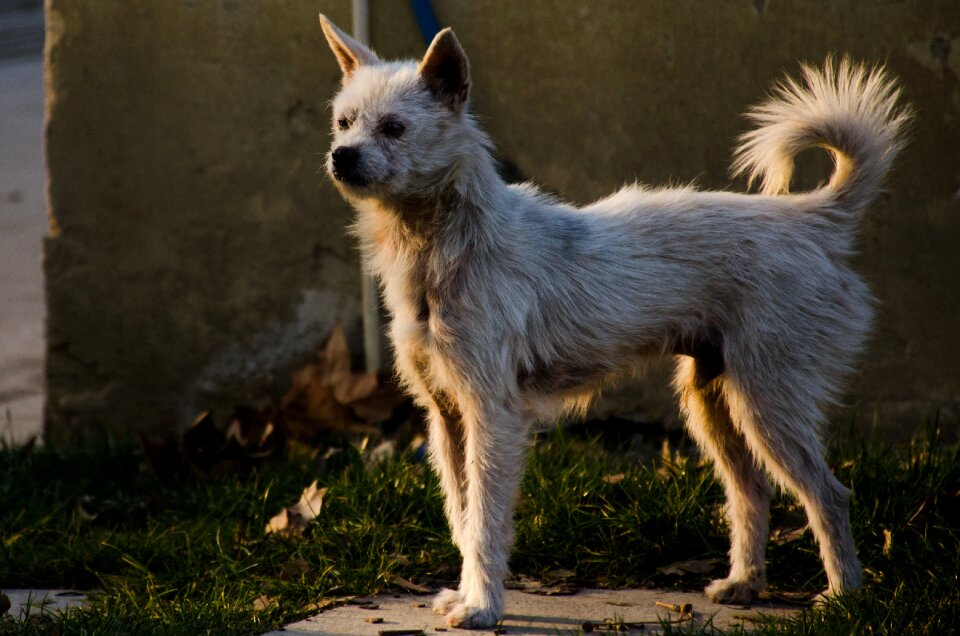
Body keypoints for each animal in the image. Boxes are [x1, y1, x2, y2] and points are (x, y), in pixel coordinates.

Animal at [320, 13, 908, 628]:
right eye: (343, 122)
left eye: (394, 128)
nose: (342, 156)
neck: (446, 246)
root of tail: (811, 219)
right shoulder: (447, 417)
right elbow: (462, 517)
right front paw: (465, 595)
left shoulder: (491, 416)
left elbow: (484, 521)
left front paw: (482, 606)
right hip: (713, 403)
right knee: (752, 492)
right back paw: (745, 583)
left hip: (768, 400)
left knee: (828, 495)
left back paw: (844, 597)